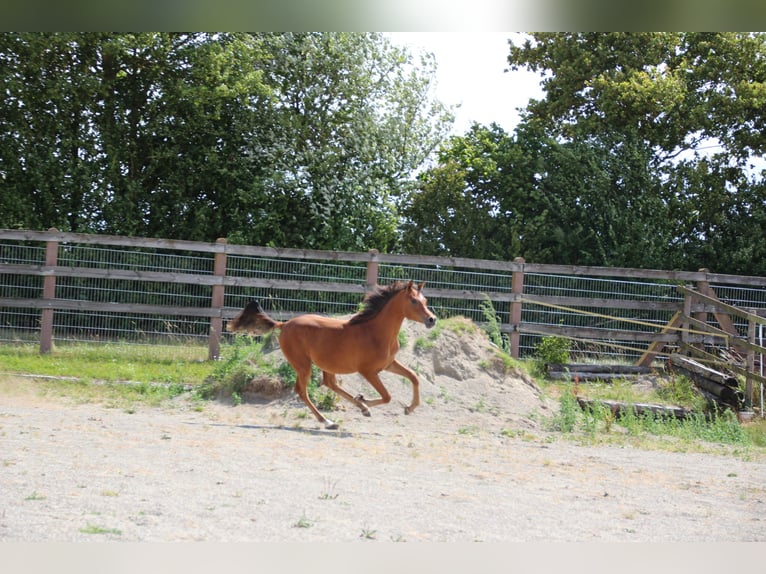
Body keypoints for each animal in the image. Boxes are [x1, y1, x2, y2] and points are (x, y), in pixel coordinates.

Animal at [226, 280, 437, 429]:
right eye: (413, 301)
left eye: (425, 301)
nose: (432, 320)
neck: (376, 332)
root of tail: (284, 325)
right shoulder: (368, 371)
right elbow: (387, 396)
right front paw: (365, 400)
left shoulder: (389, 364)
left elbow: (414, 377)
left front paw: (409, 408)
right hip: (303, 365)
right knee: (302, 390)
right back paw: (328, 421)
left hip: (326, 364)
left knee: (330, 383)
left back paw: (359, 408)